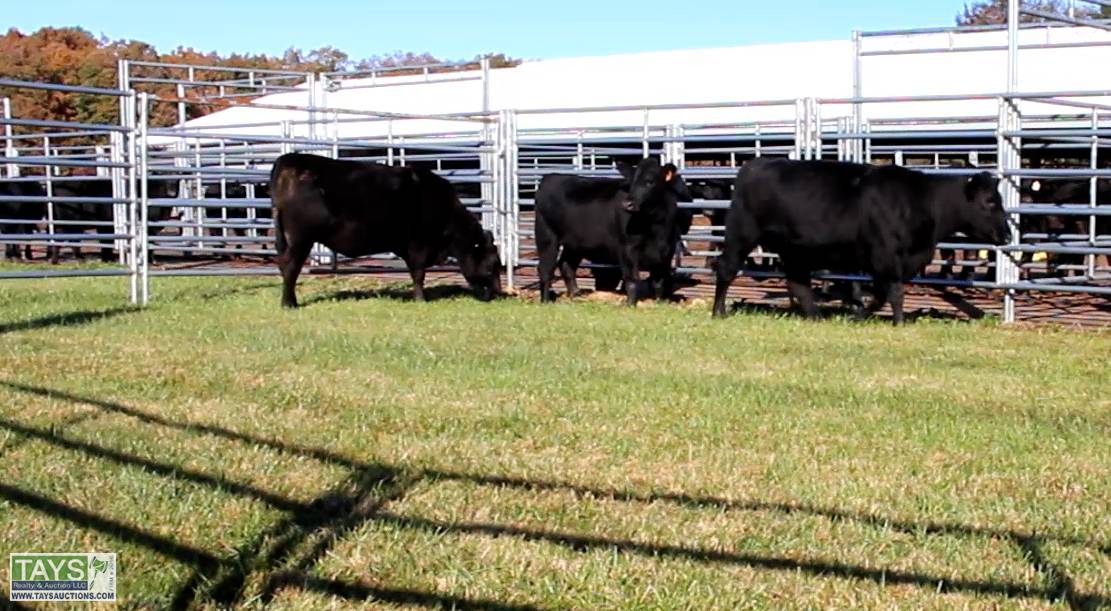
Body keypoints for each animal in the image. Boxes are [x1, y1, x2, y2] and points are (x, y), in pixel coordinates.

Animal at [269, 152, 502, 308]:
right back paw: (289, 304)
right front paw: (420, 299)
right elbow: (418, 273)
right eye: (492, 266)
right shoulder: (419, 245)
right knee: (290, 267)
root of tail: (289, 161)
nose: (497, 294)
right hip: (301, 239)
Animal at [534, 158, 693, 305]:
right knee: (545, 269)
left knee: (566, 265)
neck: (657, 227)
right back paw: (545, 300)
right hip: (546, 235)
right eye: (631, 183)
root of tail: (550, 177)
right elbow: (632, 279)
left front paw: (659, 303)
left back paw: (575, 295)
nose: (628, 204)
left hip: (574, 244)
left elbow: (659, 281)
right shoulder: (627, 249)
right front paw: (630, 304)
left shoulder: (666, 251)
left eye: (650, 181)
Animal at [712, 159, 1010, 324]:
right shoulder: (886, 257)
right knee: (726, 269)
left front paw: (858, 314)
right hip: (741, 234)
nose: (1007, 235)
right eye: (989, 201)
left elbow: (880, 295)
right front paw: (899, 322)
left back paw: (816, 317)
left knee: (799, 284)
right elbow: (895, 293)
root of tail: (753, 165)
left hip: (794, 250)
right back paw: (719, 312)